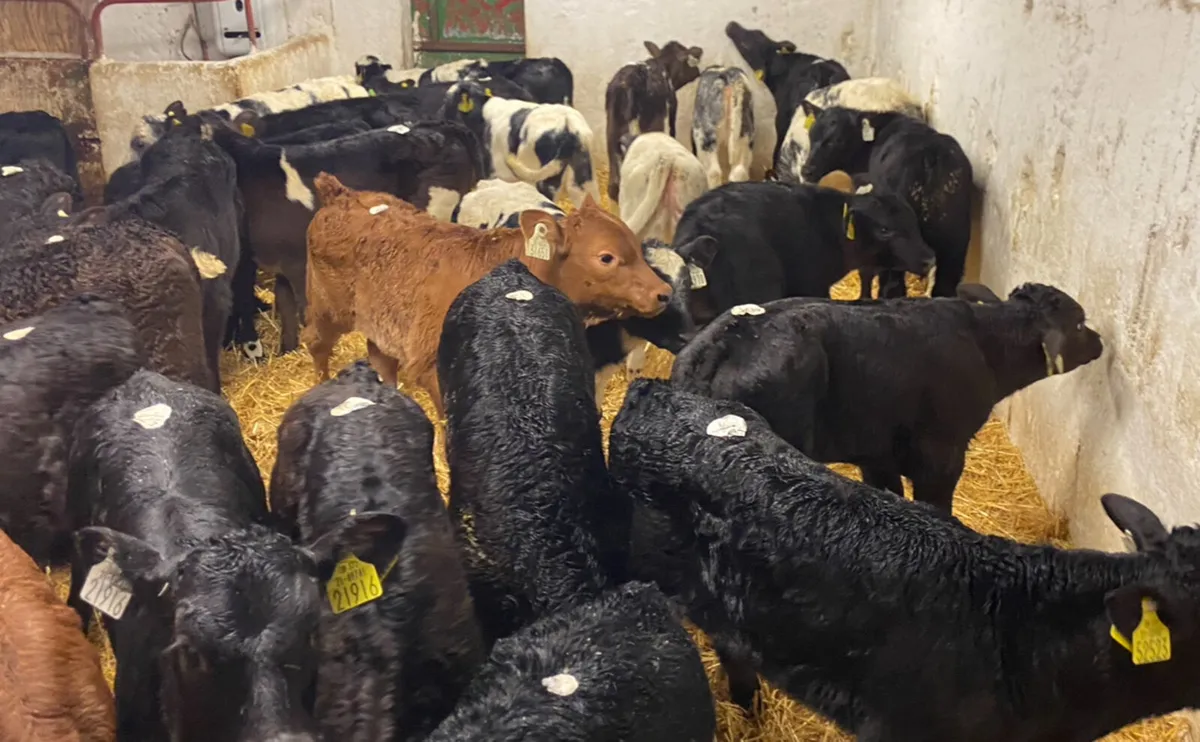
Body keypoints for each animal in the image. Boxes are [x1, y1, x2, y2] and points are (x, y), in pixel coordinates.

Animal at [212, 120, 486, 353]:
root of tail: (441, 126)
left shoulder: (298, 262)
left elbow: (302, 309)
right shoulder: (282, 262)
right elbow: (286, 306)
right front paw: (287, 351)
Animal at [303, 174, 670, 412]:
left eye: (635, 244)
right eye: (606, 257)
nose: (663, 292)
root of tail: (341, 194)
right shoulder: (434, 369)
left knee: (381, 360)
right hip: (327, 309)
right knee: (316, 343)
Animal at [671, 282, 1104, 511]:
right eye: (1080, 324)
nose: (1100, 342)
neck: (985, 346)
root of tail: (725, 340)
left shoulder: (876, 449)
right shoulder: (941, 454)